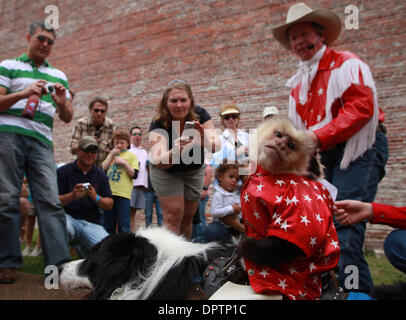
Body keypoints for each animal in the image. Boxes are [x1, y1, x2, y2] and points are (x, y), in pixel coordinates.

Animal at [238, 117, 340, 300]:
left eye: (291, 145)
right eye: (278, 135)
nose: (281, 144)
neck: (269, 174)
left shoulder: (299, 198)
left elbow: (297, 240)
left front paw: (248, 248)